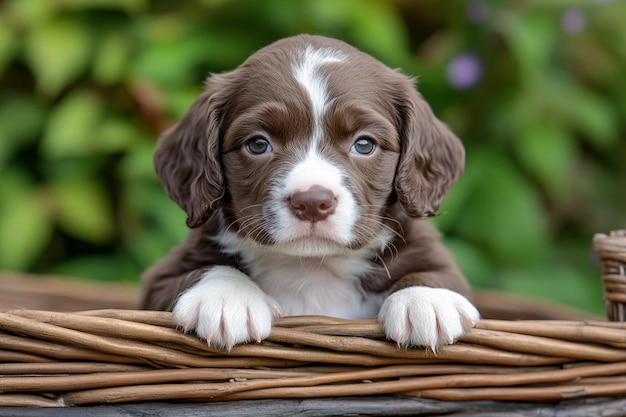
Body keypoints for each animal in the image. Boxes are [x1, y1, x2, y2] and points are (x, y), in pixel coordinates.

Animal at [140, 34, 478, 350]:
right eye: (258, 144)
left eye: (364, 144)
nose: (313, 202)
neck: (313, 267)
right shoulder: (159, 280)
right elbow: (203, 270)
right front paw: (226, 297)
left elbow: (435, 272)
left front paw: (427, 301)